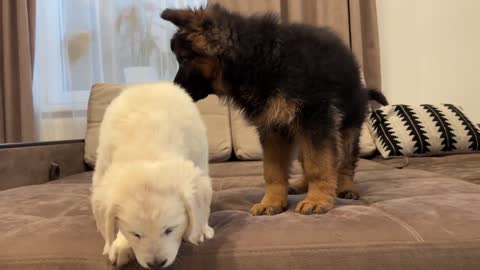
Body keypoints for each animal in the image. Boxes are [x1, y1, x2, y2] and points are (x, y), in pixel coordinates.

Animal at [91, 81, 215, 268]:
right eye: (135, 234)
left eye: (170, 229)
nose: (156, 264)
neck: (147, 149)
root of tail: (150, 84)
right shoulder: (103, 169)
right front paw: (119, 245)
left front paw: (198, 231)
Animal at [160, 3, 386, 215]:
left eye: (185, 60)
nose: (173, 90)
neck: (259, 59)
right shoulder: (273, 128)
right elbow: (273, 170)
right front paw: (272, 202)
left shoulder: (316, 119)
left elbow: (319, 165)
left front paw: (317, 200)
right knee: (307, 159)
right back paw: (301, 185)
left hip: (347, 126)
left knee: (345, 161)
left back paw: (345, 187)